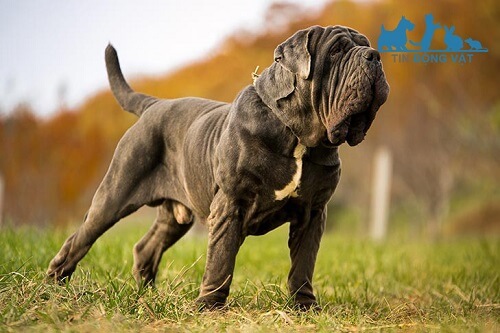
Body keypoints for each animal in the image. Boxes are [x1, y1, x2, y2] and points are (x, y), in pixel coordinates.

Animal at [47, 25, 390, 308]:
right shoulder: (230, 205)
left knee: (146, 247)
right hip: (114, 194)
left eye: (366, 45)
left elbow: (303, 264)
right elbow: (221, 259)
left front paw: (304, 307)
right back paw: (53, 287)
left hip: (175, 216)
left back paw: (148, 295)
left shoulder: (313, 212)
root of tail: (154, 105)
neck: (296, 135)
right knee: (79, 239)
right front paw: (210, 306)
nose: (374, 56)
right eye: (336, 51)